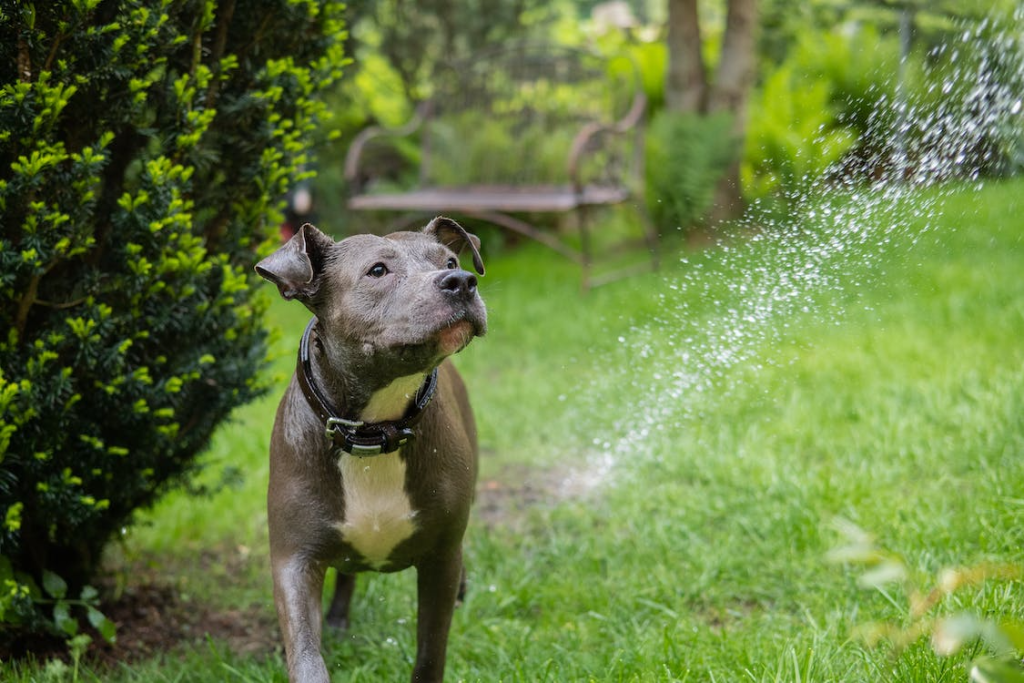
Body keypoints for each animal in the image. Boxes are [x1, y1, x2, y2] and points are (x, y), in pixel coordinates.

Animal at [251, 218, 483, 683]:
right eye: (377, 271)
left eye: (450, 261)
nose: (462, 281)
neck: (374, 431)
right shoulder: (293, 560)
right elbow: (306, 657)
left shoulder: (441, 557)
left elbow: (431, 651)